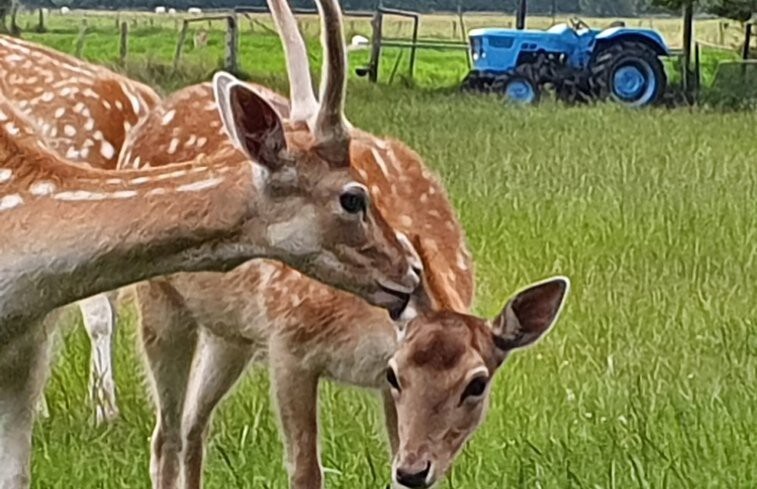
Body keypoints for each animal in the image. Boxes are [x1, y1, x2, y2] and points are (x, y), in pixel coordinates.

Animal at [121, 0, 568, 488]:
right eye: (396, 374)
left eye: (477, 383)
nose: (415, 470)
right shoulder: (289, 343)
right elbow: (305, 469)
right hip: (159, 301)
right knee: (165, 433)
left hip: (229, 332)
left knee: (193, 425)